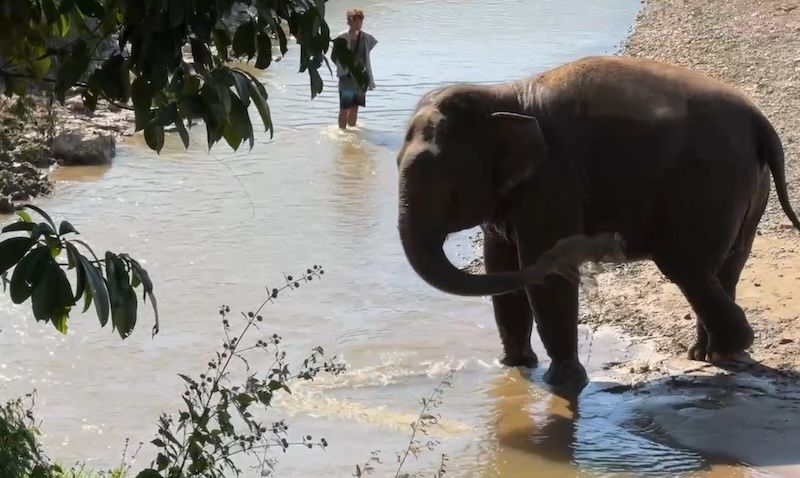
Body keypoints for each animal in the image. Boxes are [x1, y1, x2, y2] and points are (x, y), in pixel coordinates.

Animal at [395, 55, 800, 388]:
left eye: (446, 186)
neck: (502, 95)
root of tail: (759, 121)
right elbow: (501, 265)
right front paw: (514, 366)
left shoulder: (554, 181)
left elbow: (545, 276)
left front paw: (562, 382)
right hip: (749, 187)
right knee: (725, 266)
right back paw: (713, 354)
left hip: (711, 184)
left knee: (688, 267)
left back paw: (729, 347)